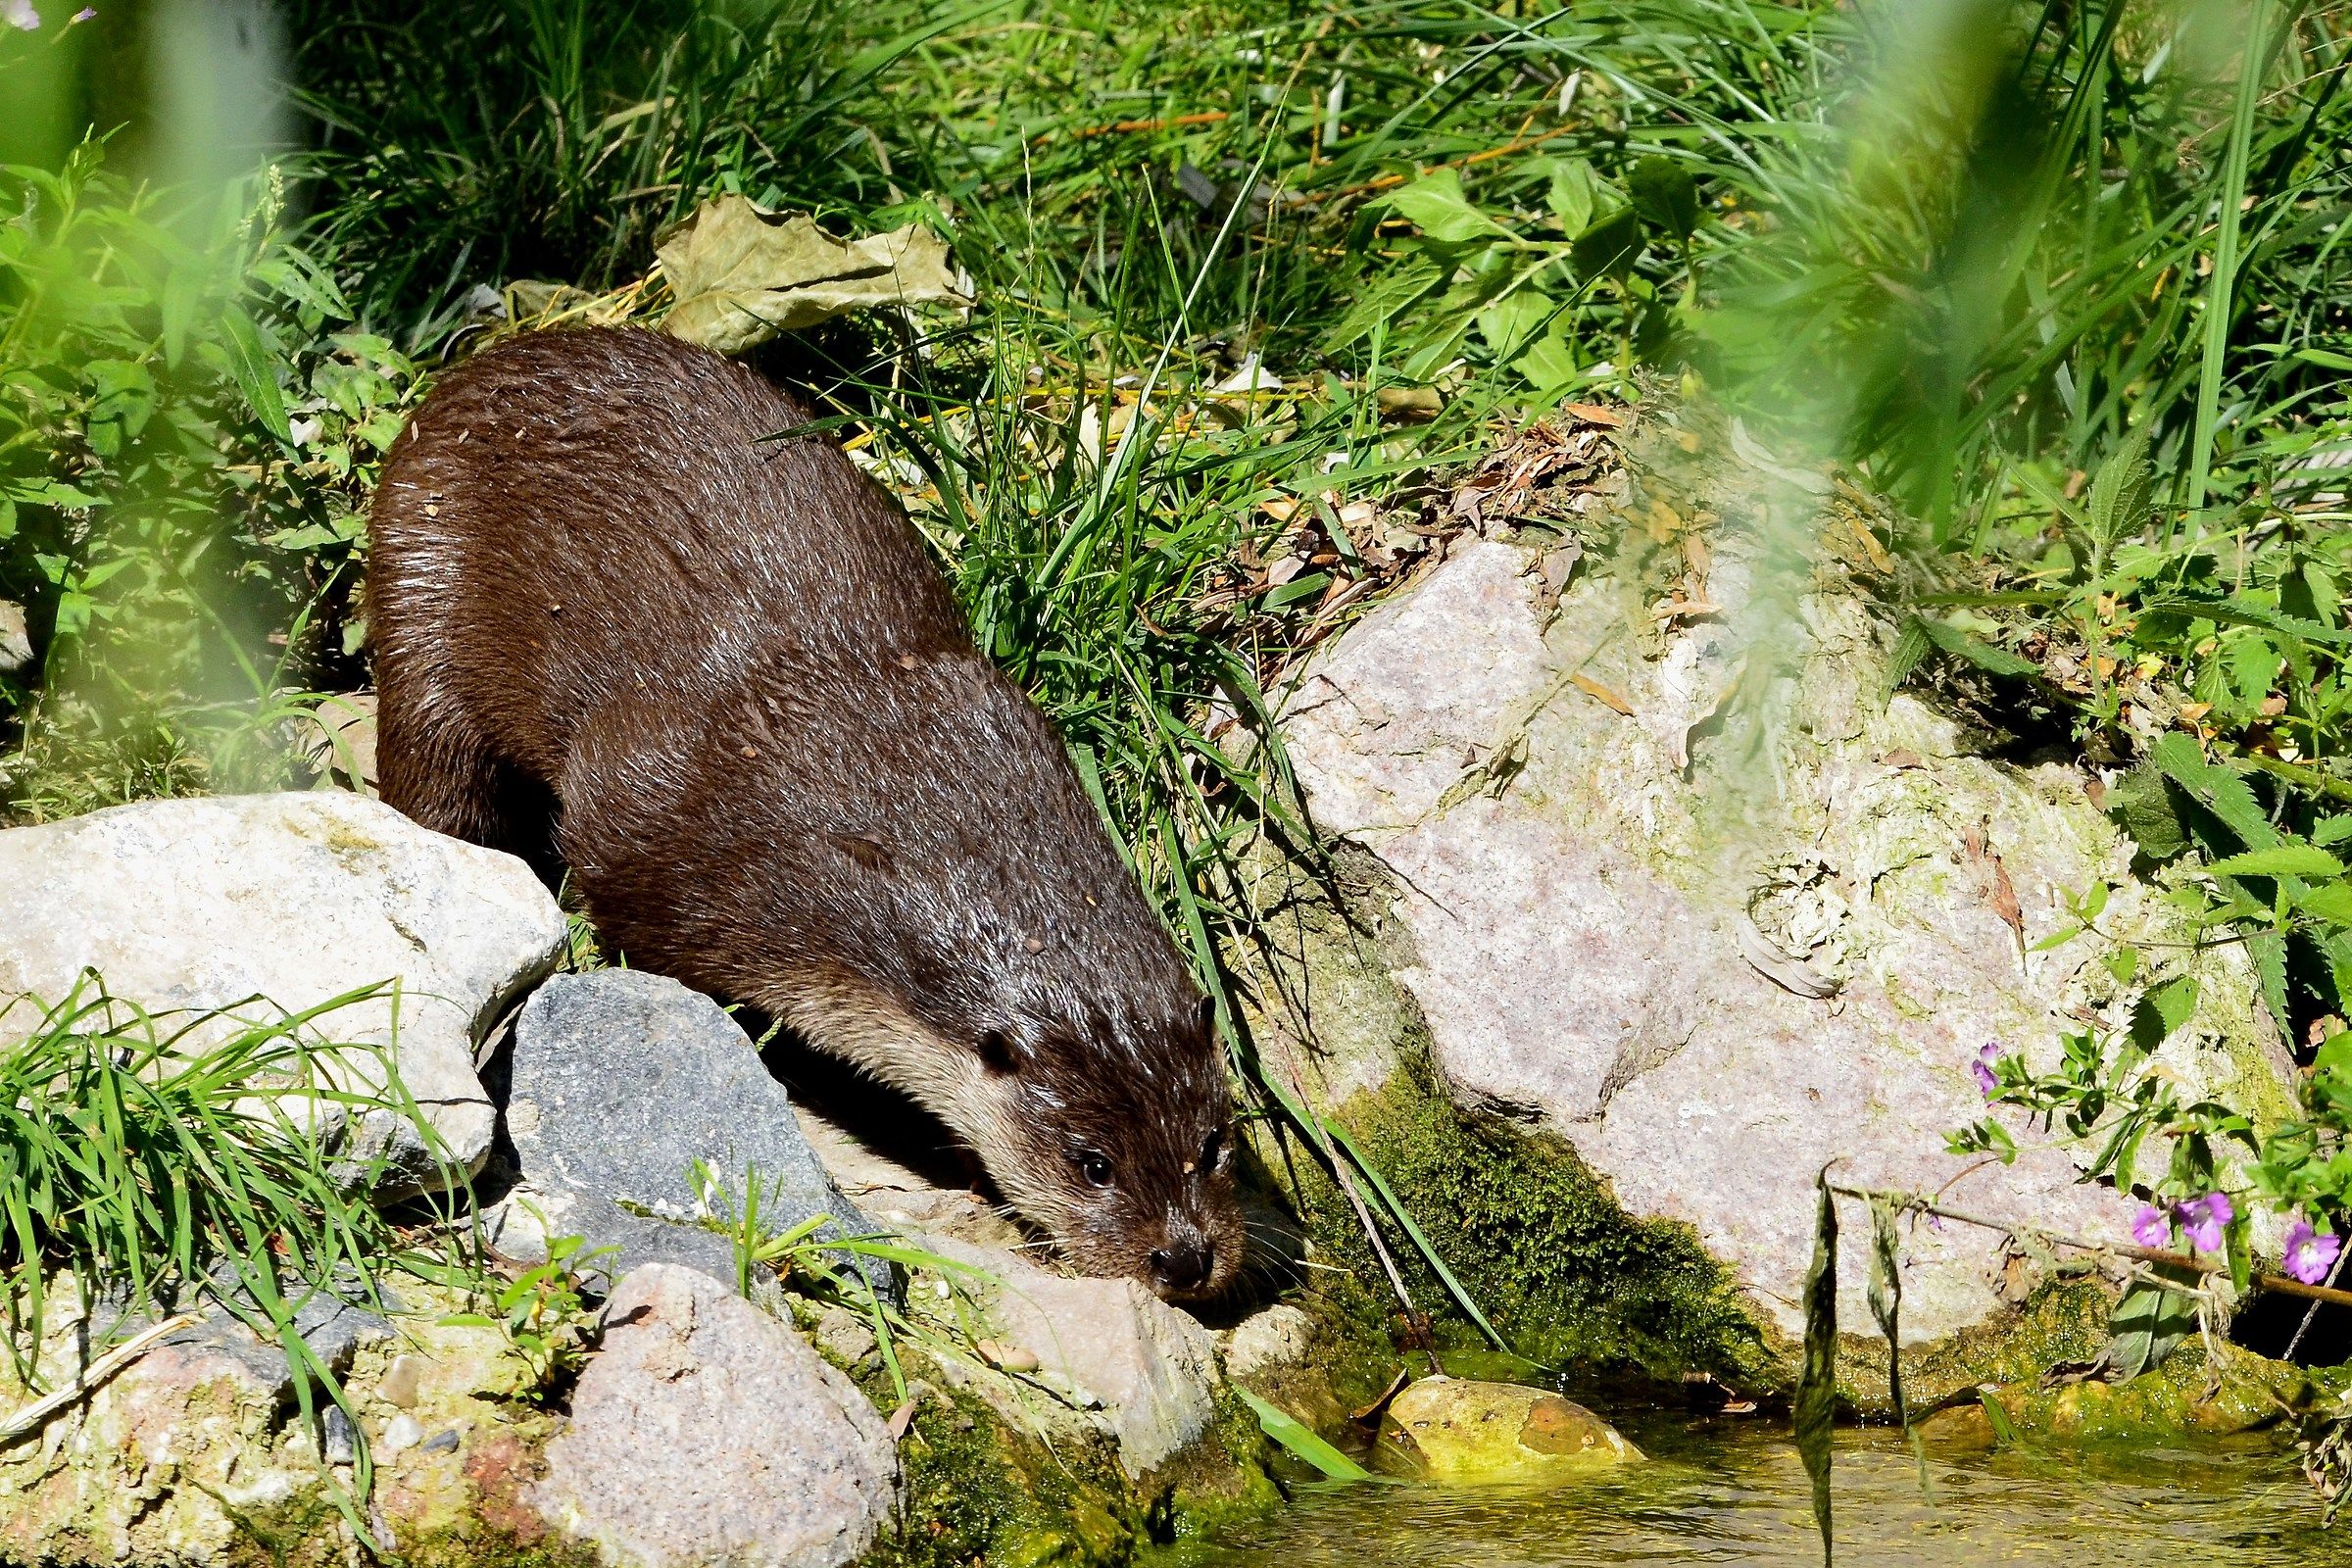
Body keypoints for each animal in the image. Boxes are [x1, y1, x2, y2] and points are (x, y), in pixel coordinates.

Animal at [367, 326, 1243, 1302]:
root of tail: (475, 369)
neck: (891, 787)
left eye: (1216, 1144)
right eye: (1091, 1163)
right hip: (423, 584)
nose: (1185, 1258)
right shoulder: (652, 819)